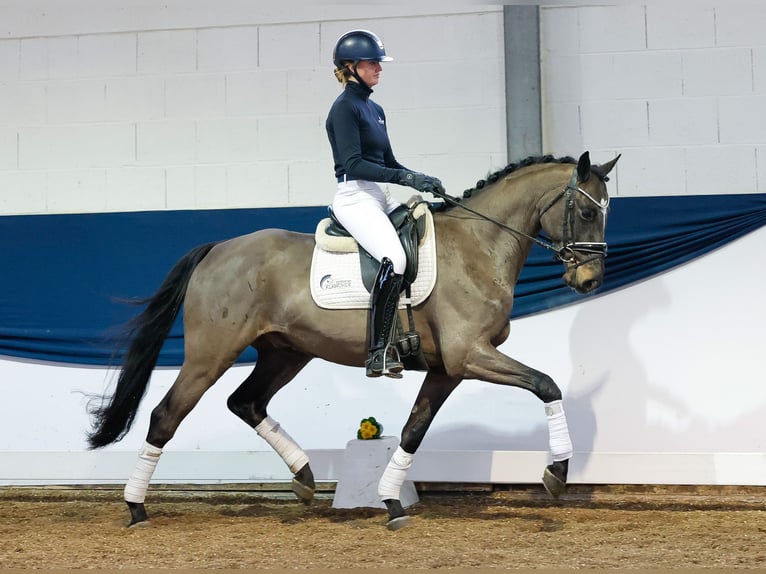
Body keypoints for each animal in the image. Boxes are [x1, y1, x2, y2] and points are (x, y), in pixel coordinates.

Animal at [87, 152, 620, 532]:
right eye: (582, 210)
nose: (590, 281)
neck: (480, 245)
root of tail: (217, 249)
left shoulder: (448, 368)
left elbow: (413, 430)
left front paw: (391, 502)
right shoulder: (471, 354)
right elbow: (546, 384)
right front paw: (557, 475)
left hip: (286, 352)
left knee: (246, 401)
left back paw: (304, 479)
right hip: (211, 353)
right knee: (167, 414)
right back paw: (136, 509)